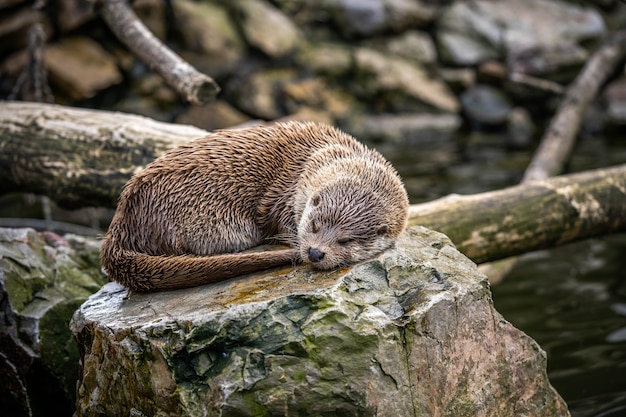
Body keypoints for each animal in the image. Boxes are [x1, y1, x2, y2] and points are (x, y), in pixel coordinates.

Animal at [100, 121, 408, 290]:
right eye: (314, 224)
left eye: (346, 240)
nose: (315, 252)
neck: (317, 156)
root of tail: (122, 222)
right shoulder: (282, 194)